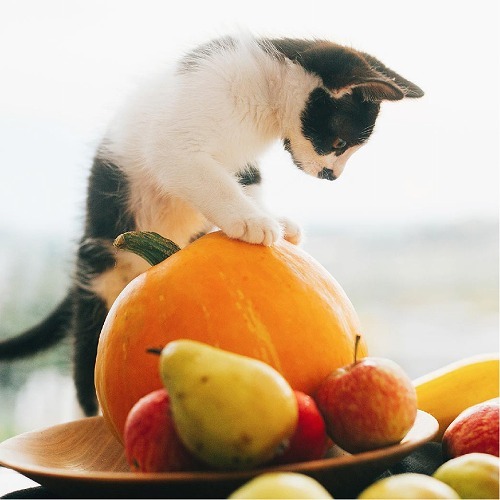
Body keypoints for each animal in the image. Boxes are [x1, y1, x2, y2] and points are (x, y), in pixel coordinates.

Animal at [0, 37, 422, 416]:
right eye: (338, 142)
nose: (332, 176)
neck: (262, 96)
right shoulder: (177, 140)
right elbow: (209, 178)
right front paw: (251, 220)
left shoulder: (243, 160)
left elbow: (247, 181)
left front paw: (273, 218)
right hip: (101, 272)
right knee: (86, 351)